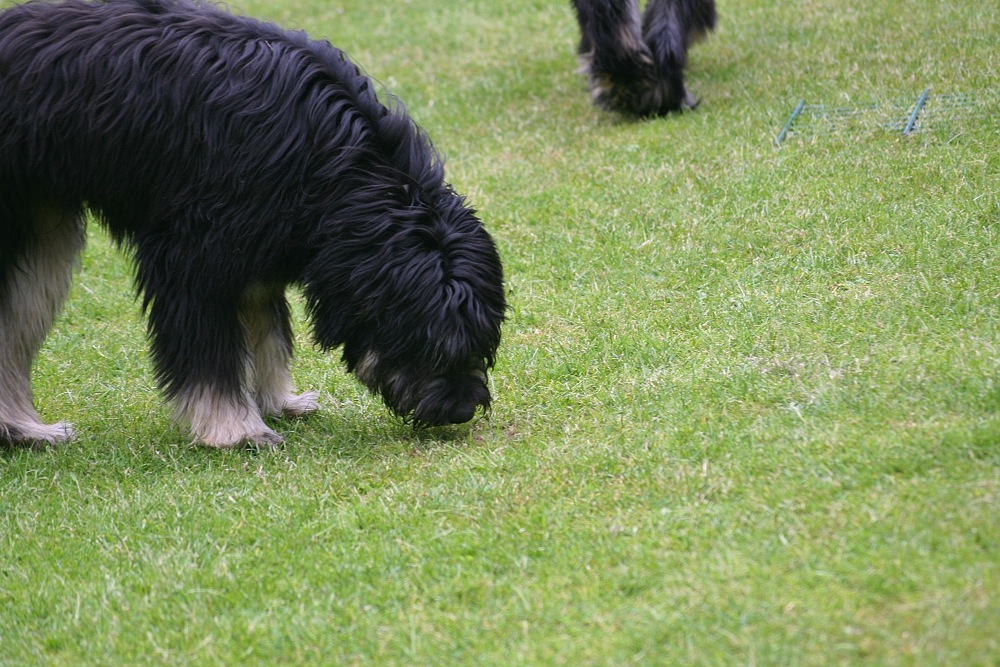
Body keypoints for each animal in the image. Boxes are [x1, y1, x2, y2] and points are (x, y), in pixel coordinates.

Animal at [1, 1, 508, 448]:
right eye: (430, 344)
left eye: (482, 346)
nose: (461, 409)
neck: (325, 152)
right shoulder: (193, 252)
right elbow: (211, 352)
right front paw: (234, 429)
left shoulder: (260, 240)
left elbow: (265, 329)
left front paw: (279, 401)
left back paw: (26, 431)